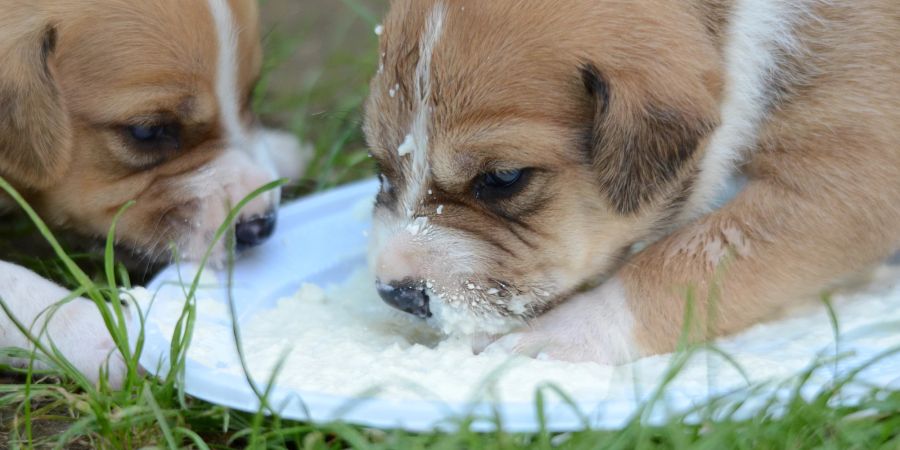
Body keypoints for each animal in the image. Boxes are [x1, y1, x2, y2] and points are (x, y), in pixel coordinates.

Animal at [0, 0, 308, 386]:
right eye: (147, 132)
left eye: (250, 94)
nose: (262, 226)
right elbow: (10, 283)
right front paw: (103, 332)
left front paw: (280, 151)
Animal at [364, 0, 900, 364]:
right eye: (379, 165)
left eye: (503, 178)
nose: (395, 295)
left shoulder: (850, 181)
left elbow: (682, 264)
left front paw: (561, 333)